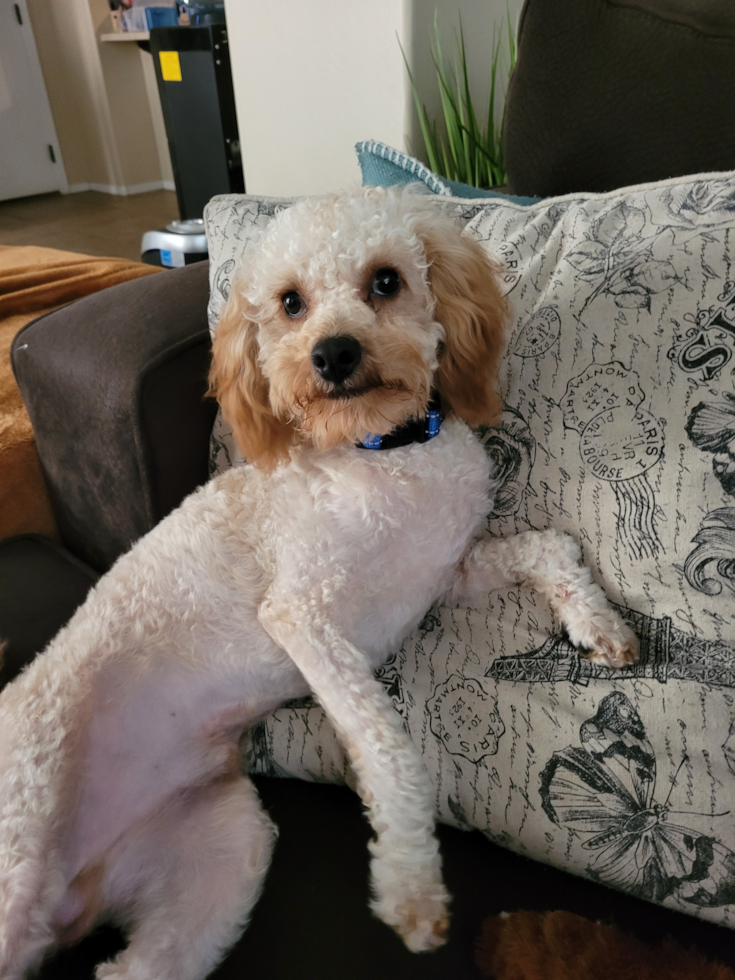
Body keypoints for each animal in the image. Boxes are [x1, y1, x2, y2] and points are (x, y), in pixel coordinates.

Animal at [0, 186, 640, 980]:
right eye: (289, 303)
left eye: (386, 281)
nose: (333, 354)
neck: (382, 454)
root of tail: (68, 892)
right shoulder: (303, 616)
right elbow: (386, 742)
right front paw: (408, 881)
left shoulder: (442, 574)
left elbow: (549, 545)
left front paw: (599, 626)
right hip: (22, 843)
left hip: (221, 859)